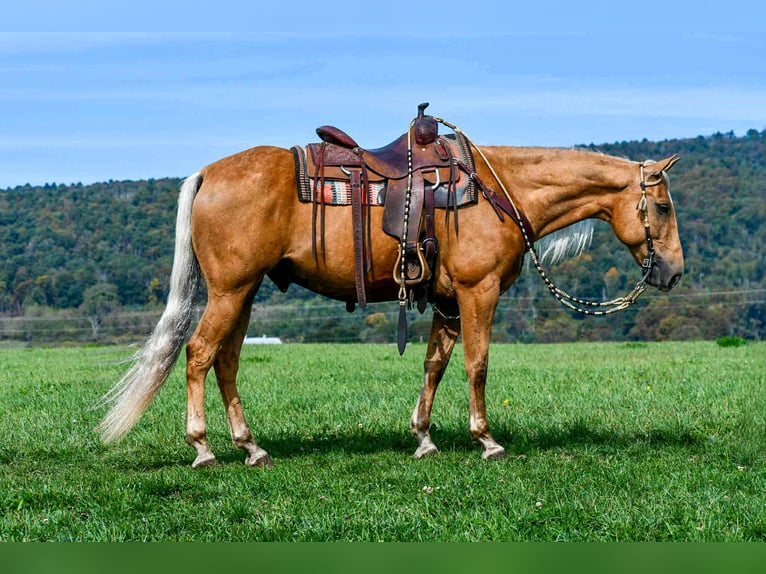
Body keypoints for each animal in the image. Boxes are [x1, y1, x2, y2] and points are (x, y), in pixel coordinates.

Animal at [96, 124, 683, 468]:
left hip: (243, 292)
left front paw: (423, 438)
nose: (673, 272)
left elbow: (434, 365)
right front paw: (487, 440)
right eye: (663, 207)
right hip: (229, 290)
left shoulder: (447, 300)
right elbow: (477, 364)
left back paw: (251, 447)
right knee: (199, 354)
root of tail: (206, 173)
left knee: (226, 361)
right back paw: (202, 448)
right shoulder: (478, 291)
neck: (500, 191)